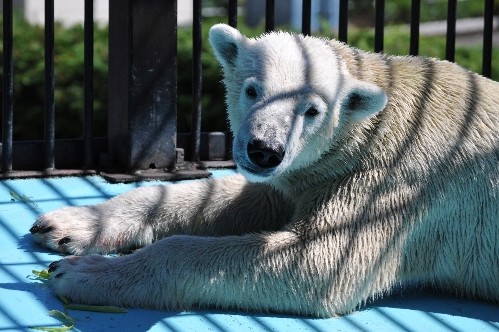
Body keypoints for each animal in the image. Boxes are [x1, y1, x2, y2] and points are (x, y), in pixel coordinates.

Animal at [30, 24, 499, 316]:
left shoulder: (398, 179)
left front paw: (81, 272)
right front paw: (69, 224)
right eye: (253, 90)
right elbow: (243, 199)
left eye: (312, 110)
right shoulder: (310, 172)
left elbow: (319, 260)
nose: (264, 151)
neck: (377, 120)